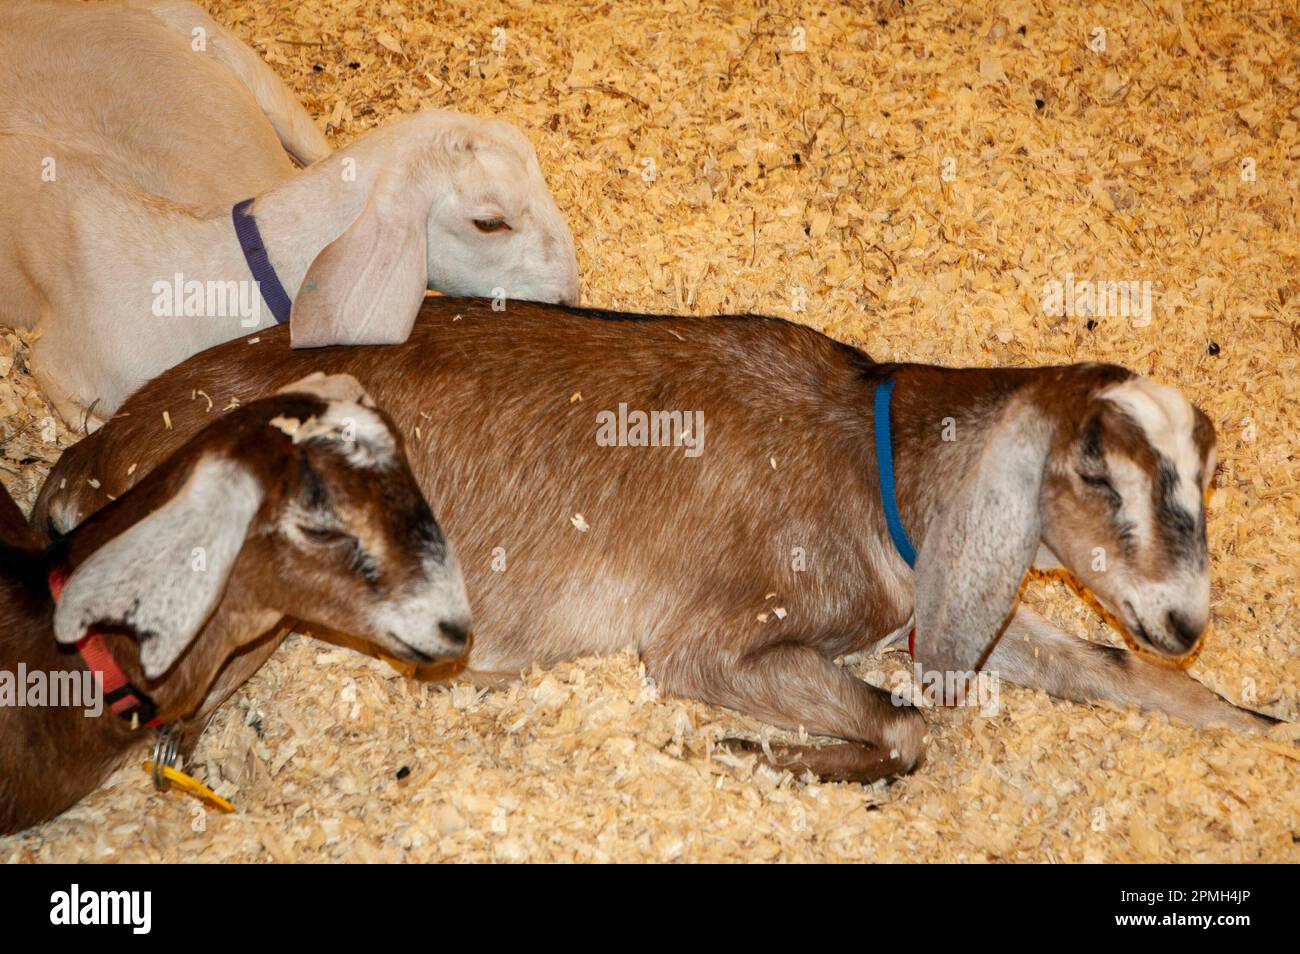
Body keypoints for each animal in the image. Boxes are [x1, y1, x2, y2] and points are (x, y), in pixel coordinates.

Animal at [35, 302, 1284, 790]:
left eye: (1209, 483)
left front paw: (1250, 722)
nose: (1185, 621)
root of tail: (91, 449)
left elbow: (1096, 666)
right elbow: (904, 725)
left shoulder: (921, 610)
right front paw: (757, 758)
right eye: (1099, 478)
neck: (876, 465)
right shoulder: (709, 644)